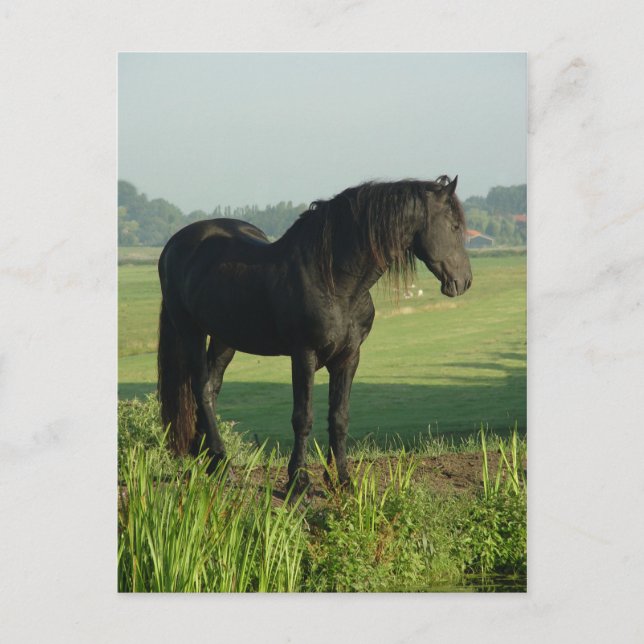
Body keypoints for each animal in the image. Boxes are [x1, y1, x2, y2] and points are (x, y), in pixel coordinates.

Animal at [157, 175, 472, 492]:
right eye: (454, 226)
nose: (464, 281)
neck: (335, 281)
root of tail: (174, 244)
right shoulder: (304, 355)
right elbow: (303, 417)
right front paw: (299, 480)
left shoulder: (349, 357)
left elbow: (339, 416)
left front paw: (341, 479)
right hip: (190, 331)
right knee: (201, 388)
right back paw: (222, 464)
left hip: (225, 338)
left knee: (212, 387)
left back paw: (208, 460)